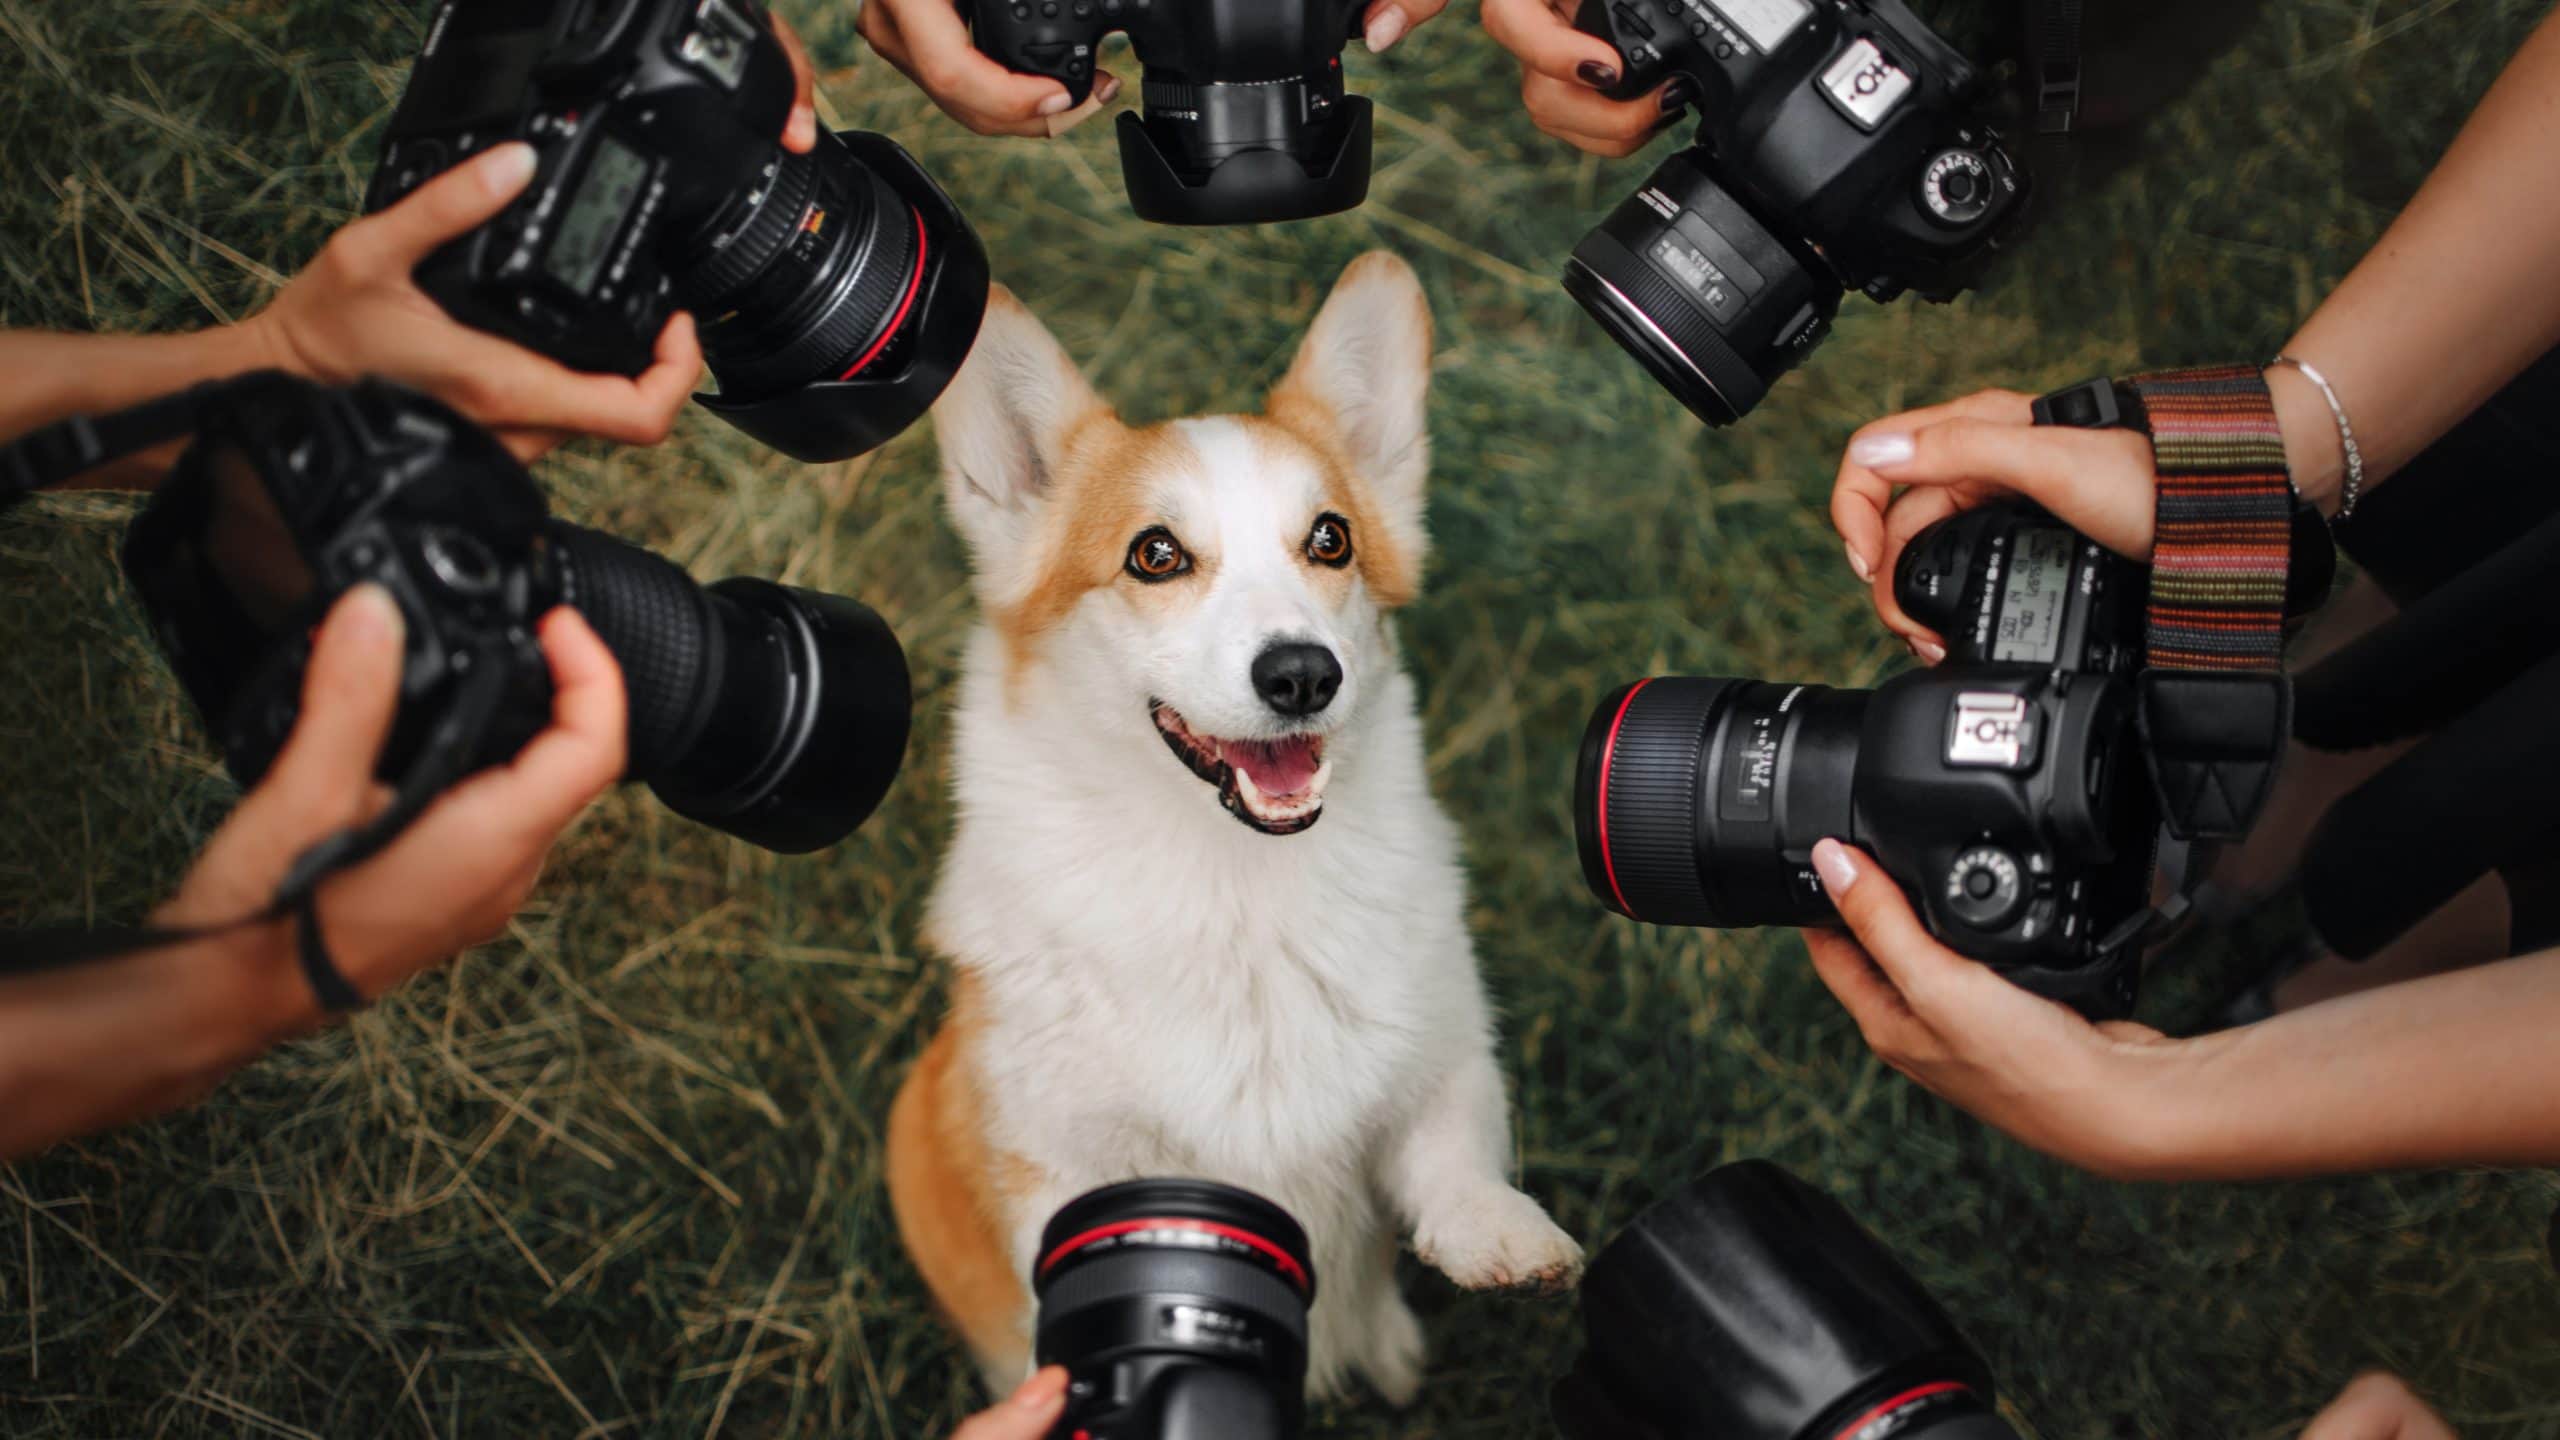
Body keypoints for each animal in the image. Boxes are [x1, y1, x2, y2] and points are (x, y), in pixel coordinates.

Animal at [896, 249, 1576, 1404]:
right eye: (1155, 555)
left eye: (1330, 539)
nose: (1304, 675)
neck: (1236, 884)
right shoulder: (1059, 1156)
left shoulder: (1440, 1054)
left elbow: (1451, 1145)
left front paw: (1502, 1234)